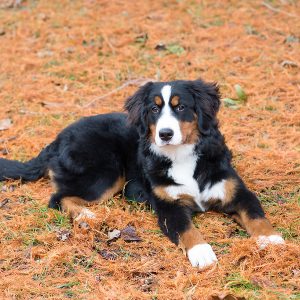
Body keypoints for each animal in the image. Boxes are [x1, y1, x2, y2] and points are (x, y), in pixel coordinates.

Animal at [0, 79, 284, 268]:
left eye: (181, 107)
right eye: (154, 109)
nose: (165, 134)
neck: (182, 156)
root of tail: (56, 140)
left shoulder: (237, 192)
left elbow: (257, 216)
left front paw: (272, 241)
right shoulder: (169, 207)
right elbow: (187, 230)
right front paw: (202, 252)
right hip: (107, 172)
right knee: (58, 198)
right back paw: (87, 215)